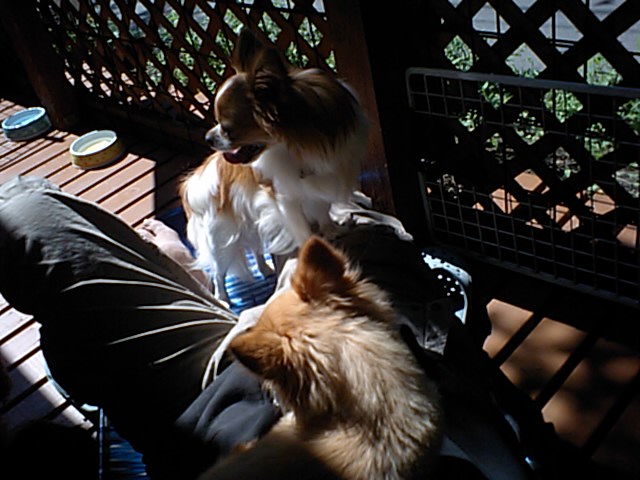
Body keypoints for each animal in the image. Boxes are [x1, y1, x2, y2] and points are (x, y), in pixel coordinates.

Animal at [205, 29, 370, 246]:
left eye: (227, 128)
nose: (207, 138)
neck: (297, 147)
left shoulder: (318, 182)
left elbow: (322, 210)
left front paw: (330, 230)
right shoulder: (283, 194)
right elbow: (301, 227)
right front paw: (310, 244)